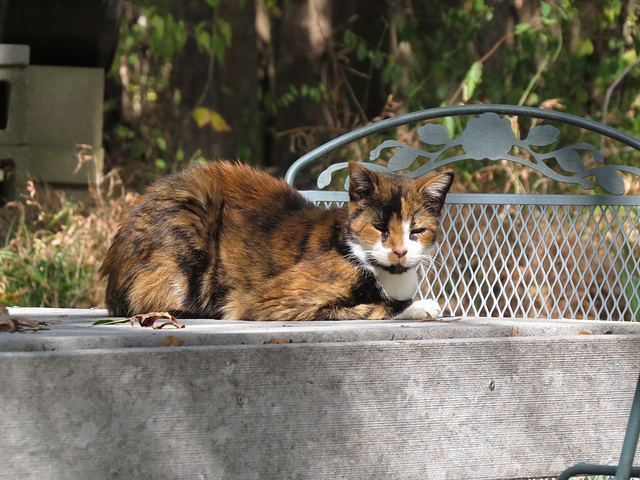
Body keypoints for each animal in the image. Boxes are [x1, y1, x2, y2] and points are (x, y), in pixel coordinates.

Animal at [100, 159, 452, 320]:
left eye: (416, 231)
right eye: (379, 227)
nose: (399, 251)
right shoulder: (270, 301)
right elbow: (375, 308)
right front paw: (421, 306)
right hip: (197, 201)